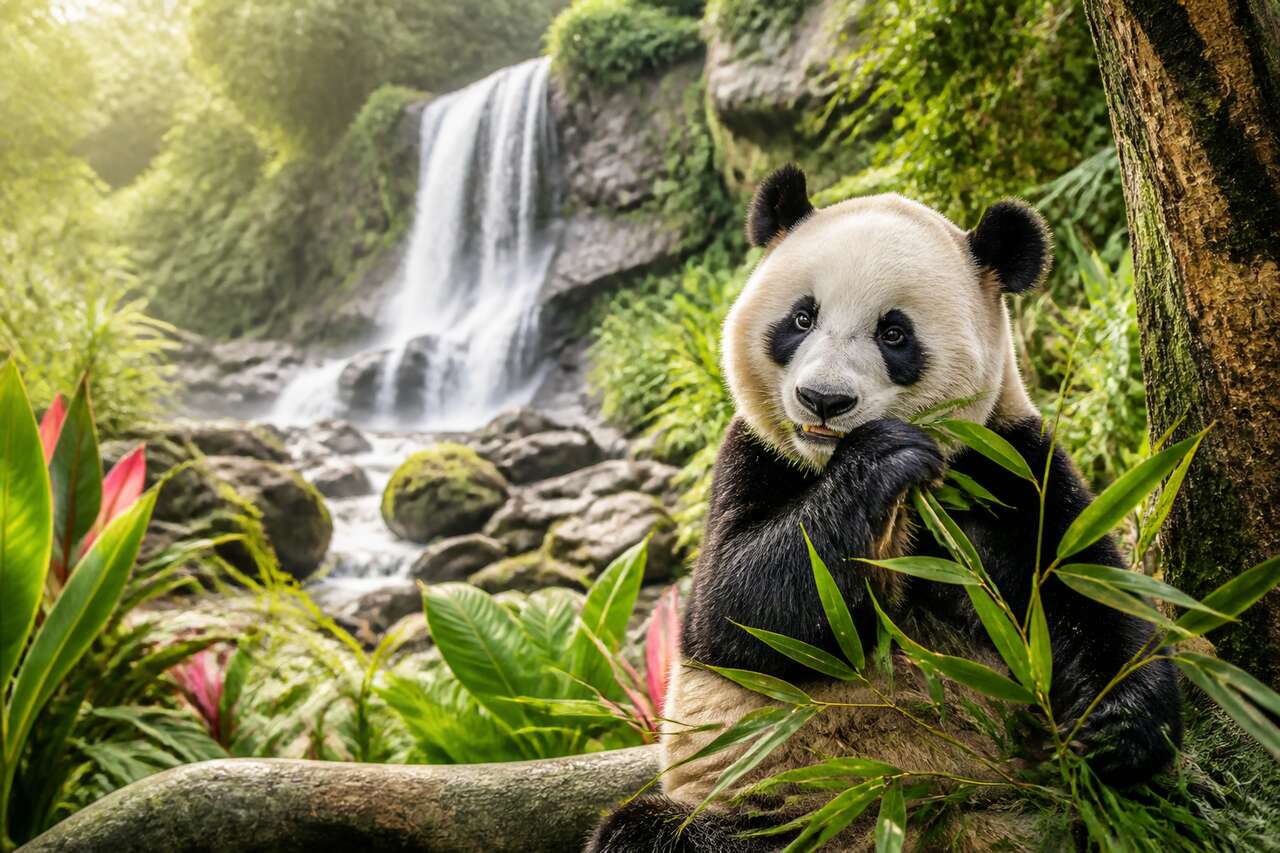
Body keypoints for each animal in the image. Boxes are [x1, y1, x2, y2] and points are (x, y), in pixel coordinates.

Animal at [587, 165, 1182, 852]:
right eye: (801, 318)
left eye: (893, 334)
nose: (823, 400)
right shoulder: (753, 456)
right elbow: (736, 612)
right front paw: (886, 455)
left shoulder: (1007, 461)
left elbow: (1078, 582)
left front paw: (1122, 727)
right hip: (768, 807)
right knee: (652, 831)